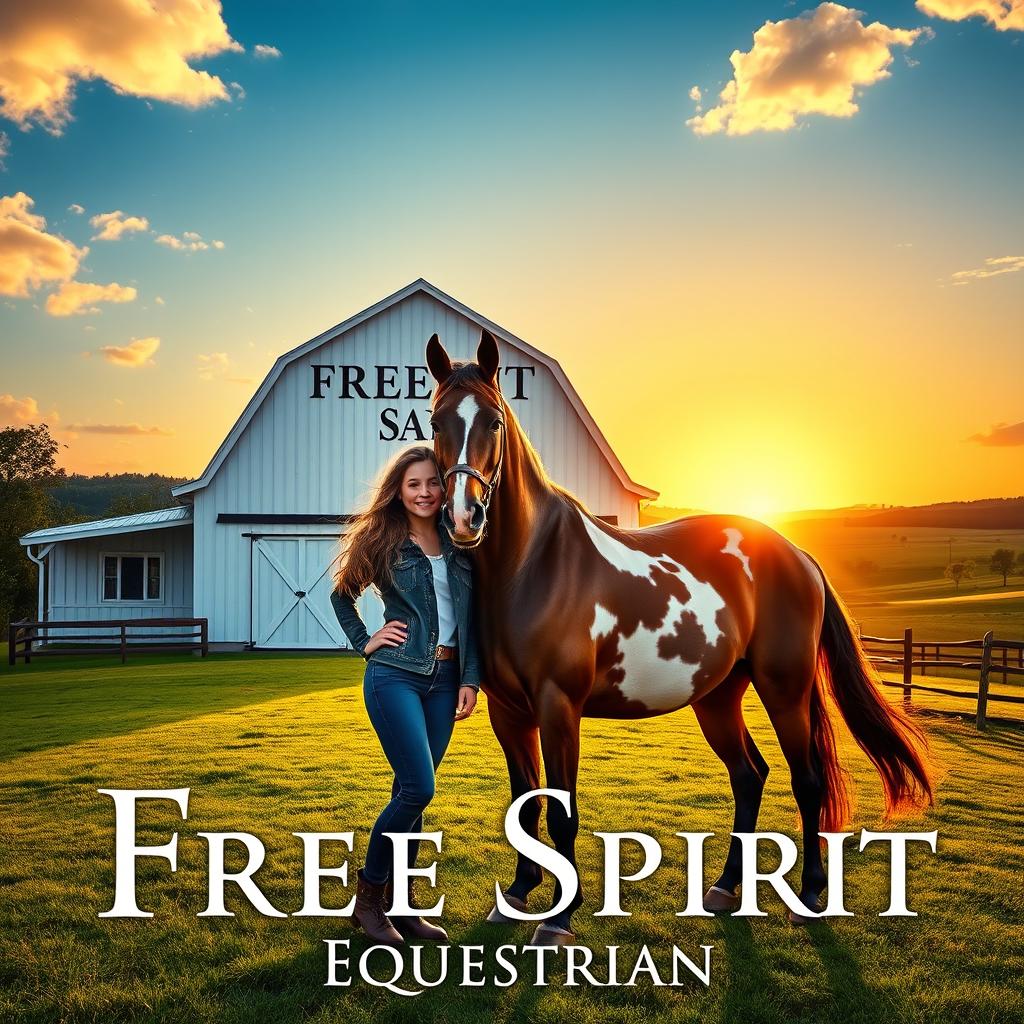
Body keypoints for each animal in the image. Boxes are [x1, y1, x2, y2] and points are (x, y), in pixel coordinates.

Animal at [423, 331, 929, 937]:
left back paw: (809, 894)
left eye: (495, 421)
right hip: (718, 697)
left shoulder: (558, 707)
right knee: (749, 775)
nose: (463, 518)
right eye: (435, 421)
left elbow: (563, 810)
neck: (532, 566)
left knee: (806, 781)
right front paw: (520, 893)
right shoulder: (509, 712)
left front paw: (561, 918)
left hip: (785, 688)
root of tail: (798, 556)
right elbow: (528, 805)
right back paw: (726, 887)